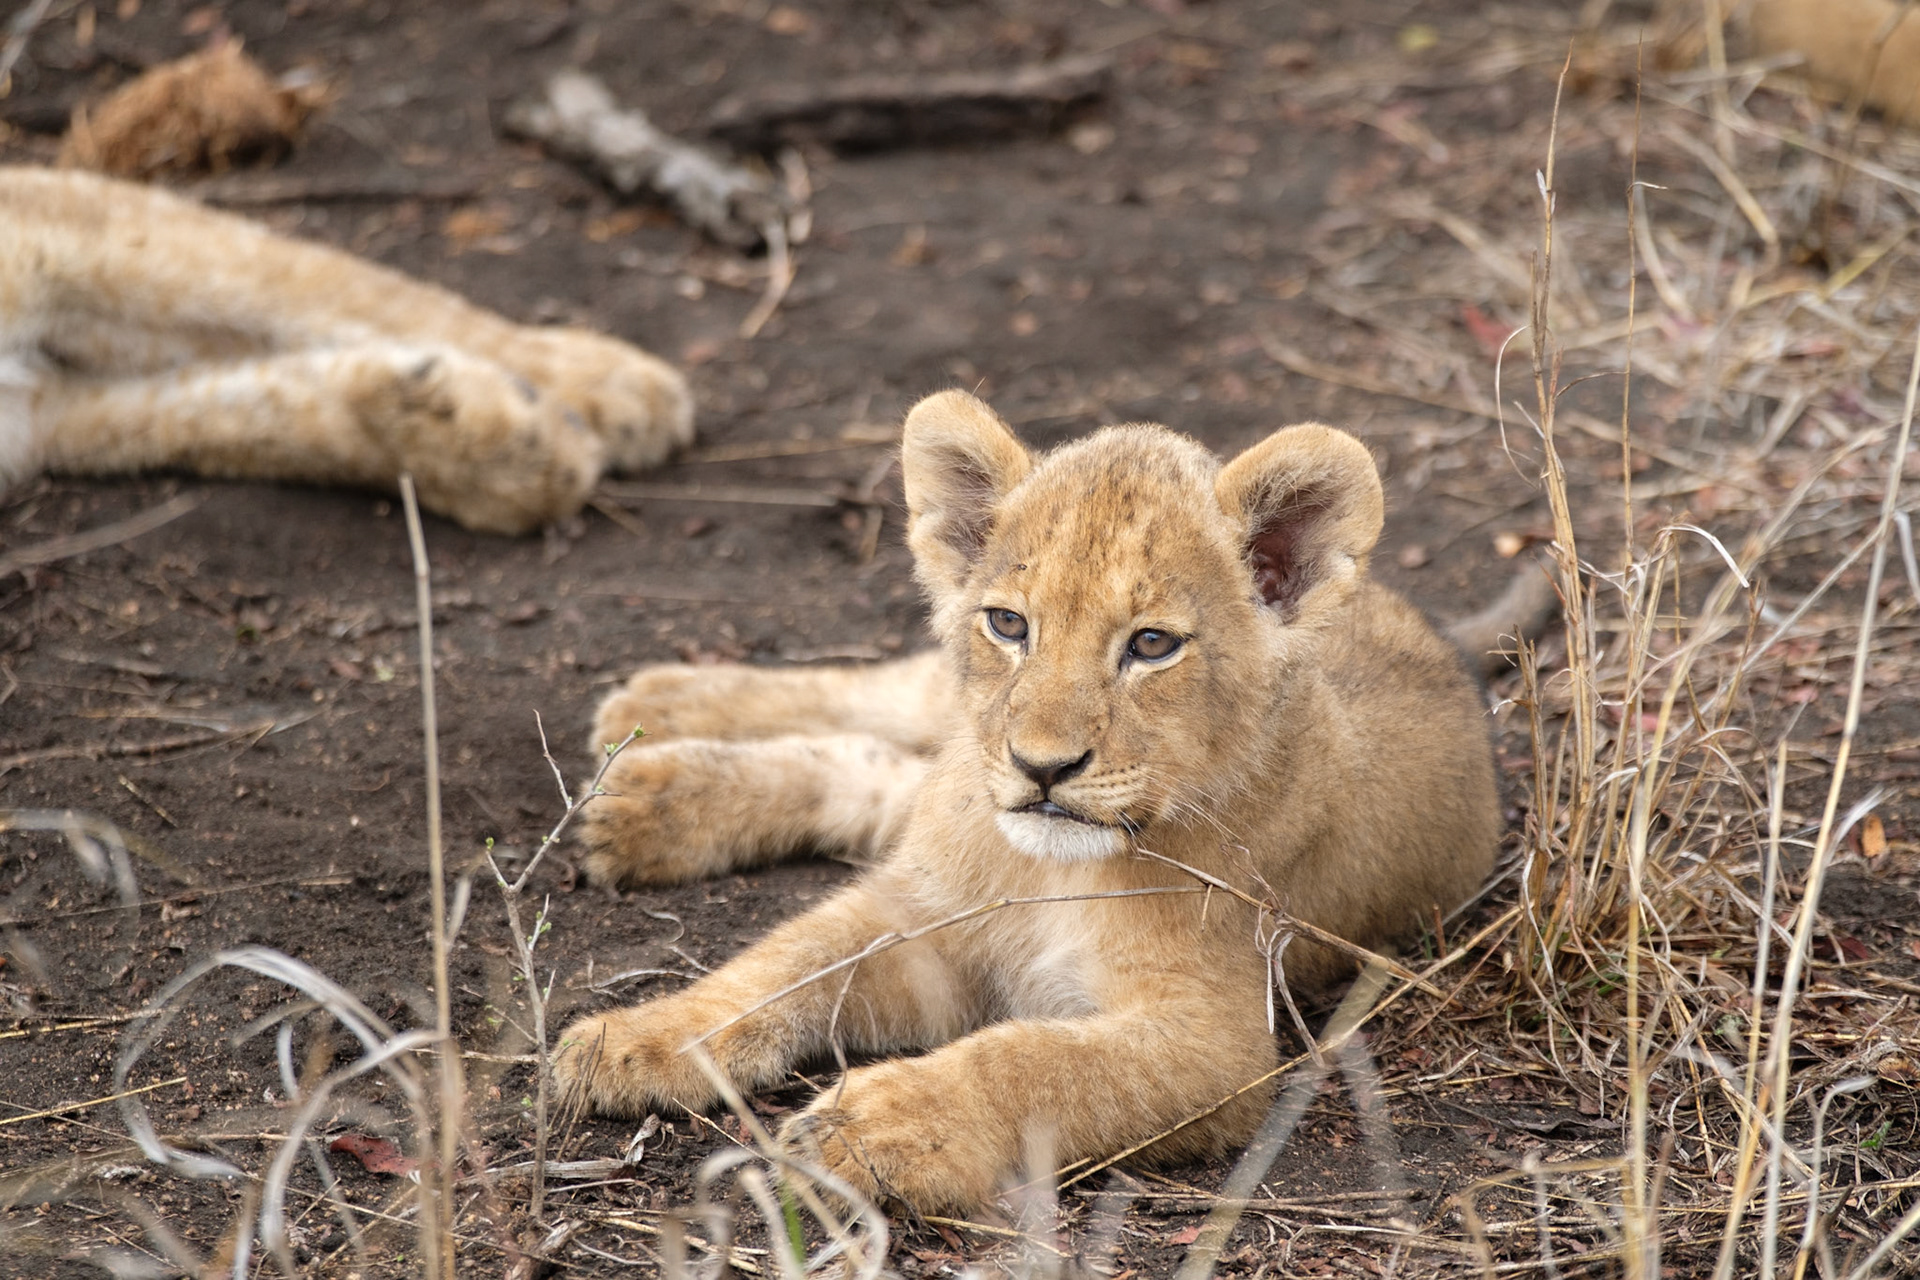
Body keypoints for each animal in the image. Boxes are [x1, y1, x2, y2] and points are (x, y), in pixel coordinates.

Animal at [0, 165, 691, 534]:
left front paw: (593, 396)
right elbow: (239, 419)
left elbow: (339, 290)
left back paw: (617, 383)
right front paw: (522, 452)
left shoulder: (41, 223)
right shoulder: (41, 422)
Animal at [554, 389, 1530, 1215]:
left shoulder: (1218, 1045)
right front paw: (635, 1038)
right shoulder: (926, 912)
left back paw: (642, 790)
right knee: (881, 703)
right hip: (954, 737)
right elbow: (784, 964)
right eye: (1009, 625)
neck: (1050, 873)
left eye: (1151, 645)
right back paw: (651, 723)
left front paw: (875, 1124)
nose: (1041, 767)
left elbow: (1030, 1061)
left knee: (877, 771)